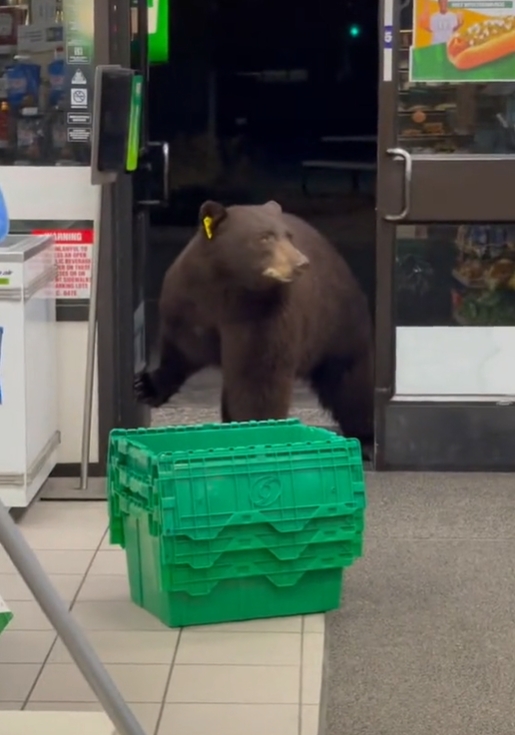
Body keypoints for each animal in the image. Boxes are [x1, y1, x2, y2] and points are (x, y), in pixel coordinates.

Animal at [135, 198, 372, 442]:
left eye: (288, 236)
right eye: (264, 237)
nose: (301, 263)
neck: (229, 287)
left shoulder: (262, 315)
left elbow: (257, 377)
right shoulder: (189, 306)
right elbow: (182, 350)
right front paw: (145, 386)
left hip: (336, 326)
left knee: (351, 384)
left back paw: (364, 431)